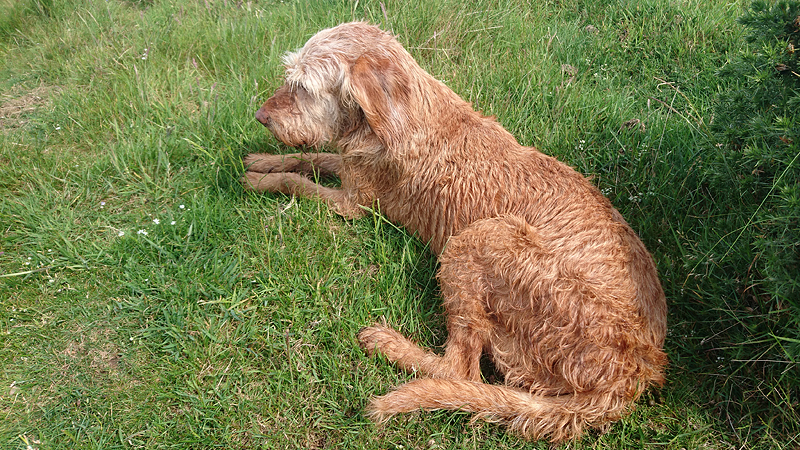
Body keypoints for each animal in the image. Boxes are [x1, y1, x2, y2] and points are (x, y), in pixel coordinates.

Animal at [242, 22, 667, 442]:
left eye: (304, 87)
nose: (261, 116)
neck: (398, 112)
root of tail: (627, 376)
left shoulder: (353, 203)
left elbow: (299, 184)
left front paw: (259, 181)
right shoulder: (348, 169)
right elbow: (311, 157)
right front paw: (263, 160)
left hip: (477, 238)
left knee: (460, 369)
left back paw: (388, 343)